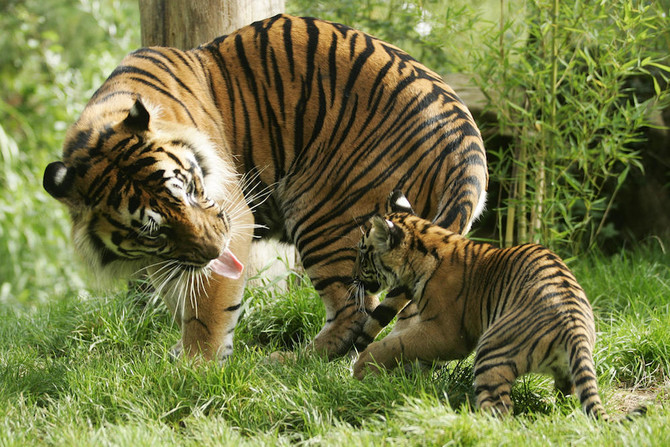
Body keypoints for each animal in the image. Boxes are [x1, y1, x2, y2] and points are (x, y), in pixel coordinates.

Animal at [42, 14, 488, 362]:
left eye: (187, 190)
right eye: (151, 230)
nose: (215, 250)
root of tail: (463, 134)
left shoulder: (232, 214)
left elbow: (207, 304)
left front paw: (196, 367)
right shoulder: (170, 255)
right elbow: (179, 292)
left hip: (326, 216)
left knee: (355, 310)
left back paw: (291, 361)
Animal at [352, 191, 608, 418]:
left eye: (363, 255)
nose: (352, 279)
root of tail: (574, 327)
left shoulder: (447, 334)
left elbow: (396, 344)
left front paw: (362, 368)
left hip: (492, 349)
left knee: (498, 410)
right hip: (564, 370)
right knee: (569, 394)